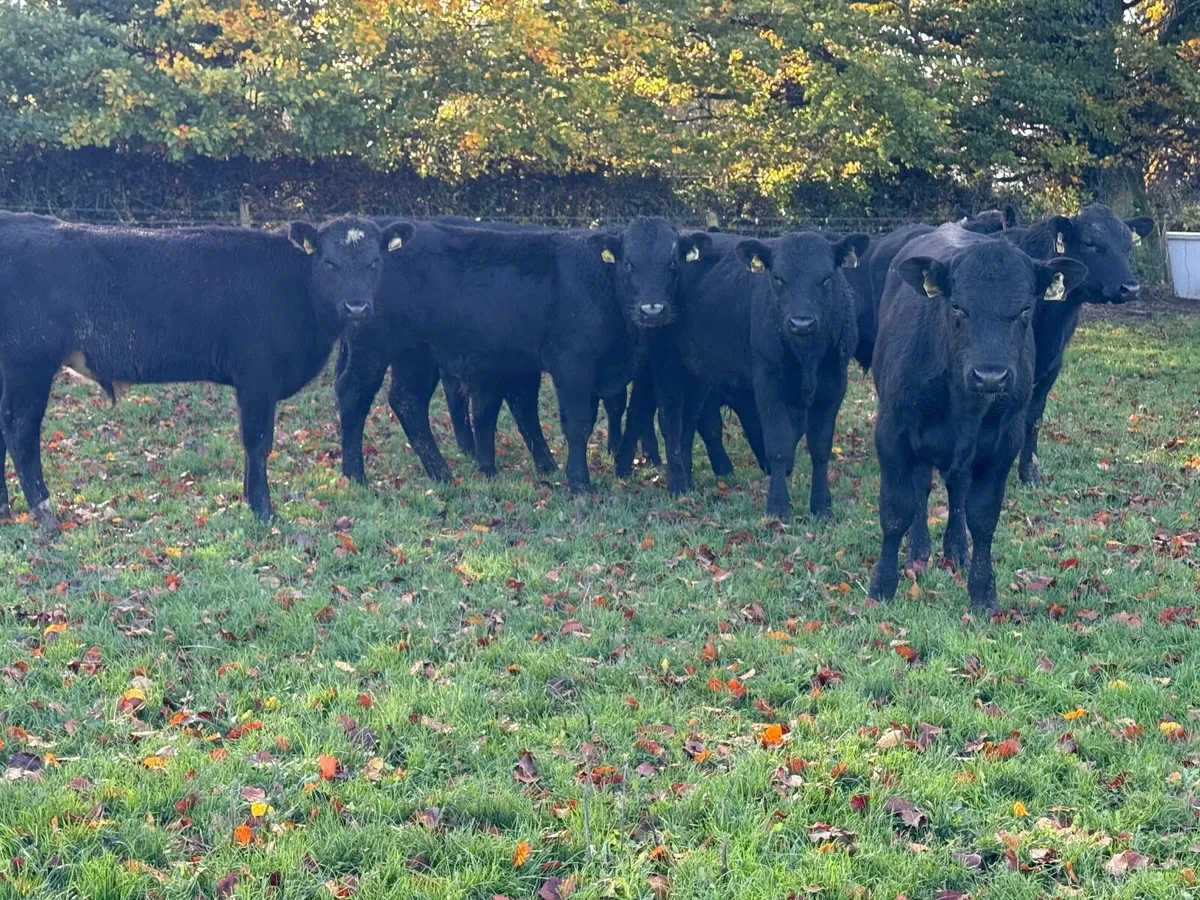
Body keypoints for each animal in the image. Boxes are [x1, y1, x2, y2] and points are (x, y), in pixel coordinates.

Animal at [0, 212, 409, 529]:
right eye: (329, 263)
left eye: (375, 262)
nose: (357, 307)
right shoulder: (258, 375)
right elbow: (258, 441)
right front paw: (264, 510)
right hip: (29, 362)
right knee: (20, 431)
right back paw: (45, 514)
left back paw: (5, 510)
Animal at [335, 217, 710, 493]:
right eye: (629, 263)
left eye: (673, 262)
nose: (652, 309)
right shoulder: (572, 364)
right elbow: (578, 423)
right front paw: (579, 483)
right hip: (373, 347)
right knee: (354, 394)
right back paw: (356, 474)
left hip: (417, 353)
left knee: (407, 401)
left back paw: (440, 473)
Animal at [868, 224, 1086, 608]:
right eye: (957, 305)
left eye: (1025, 308)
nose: (990, 376)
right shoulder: (892, 433)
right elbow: (896, 510)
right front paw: (882, 586)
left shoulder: (1004, 441)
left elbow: (983, 517)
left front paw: (983, 592)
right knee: (922, 487)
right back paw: (919, 550)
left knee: (956, 491)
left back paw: (956, 550)